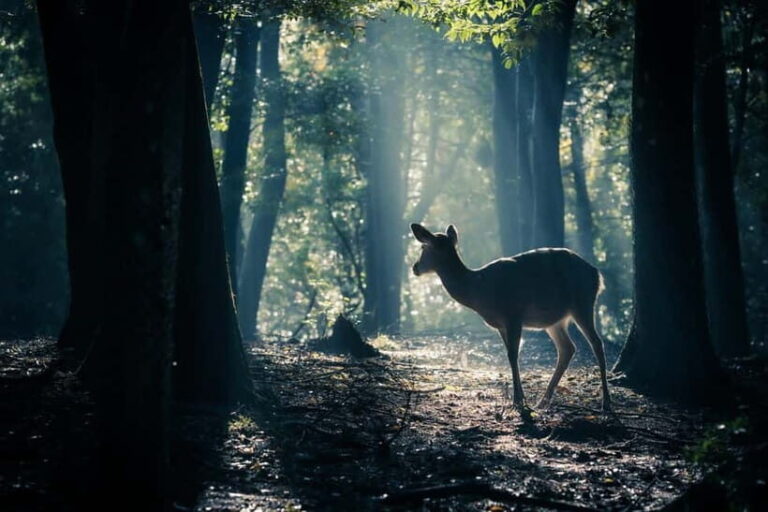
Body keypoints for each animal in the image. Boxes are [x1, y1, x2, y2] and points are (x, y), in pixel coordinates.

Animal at [410, 223, 612, 412]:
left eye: (423, 247)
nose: (415, 267)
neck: (478, 290)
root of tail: (598, 274)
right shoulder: (501, 324)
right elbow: (510, 354)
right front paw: (521, 399)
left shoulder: (514, 314)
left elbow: (513, 354)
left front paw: (517, 400)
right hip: (555, 321)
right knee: (567, 348)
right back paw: (543, 401)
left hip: (583, 302)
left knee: (596, 343)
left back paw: (606, 402)